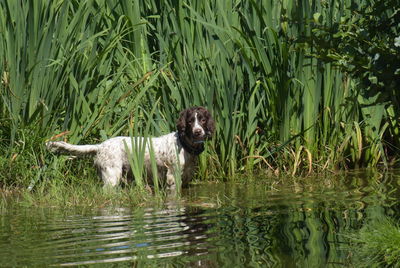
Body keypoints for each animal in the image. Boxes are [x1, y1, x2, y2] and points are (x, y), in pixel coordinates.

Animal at [46, 105, 216, 189]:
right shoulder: (172, 177)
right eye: (190, 121)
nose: (198, 131)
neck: (184, 145)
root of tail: (101, 145)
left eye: (202, 120)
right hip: (111, 176)